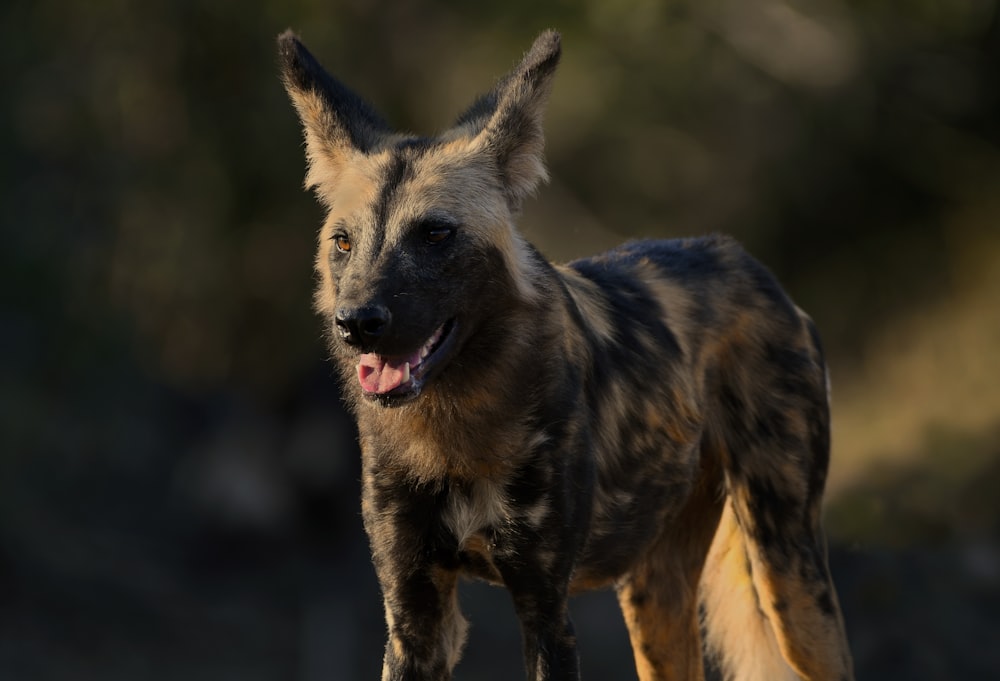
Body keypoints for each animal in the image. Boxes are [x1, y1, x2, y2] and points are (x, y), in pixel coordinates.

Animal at [280, 27, 852, 680]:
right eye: (343, 243)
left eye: (435, 234)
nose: (357, 323)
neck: (457, 433)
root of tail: (749, 263)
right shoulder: (414, 620)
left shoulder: (546, 612)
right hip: (654, 597)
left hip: (790, 582)